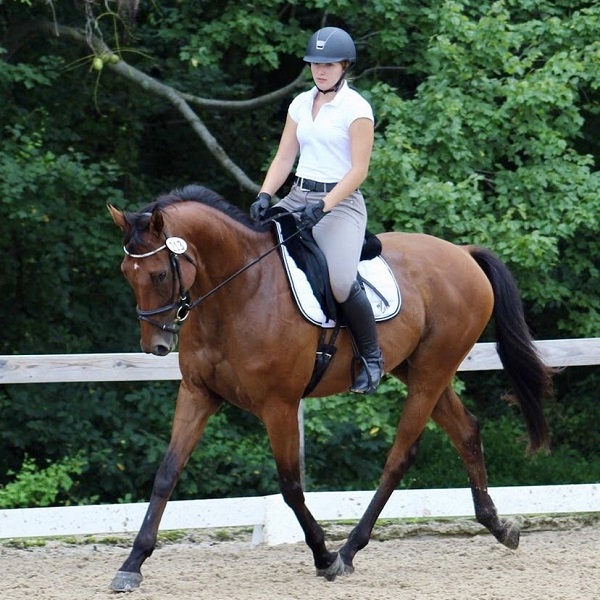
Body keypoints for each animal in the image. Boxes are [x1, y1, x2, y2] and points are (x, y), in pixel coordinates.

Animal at [106, 183, 548, 592]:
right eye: (126, 273)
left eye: (160, 273)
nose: (156, 345)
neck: (240, 290)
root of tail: (462, 252)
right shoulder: (198, 394)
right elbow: (167, 474)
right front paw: (132, 564)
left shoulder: (280, 405)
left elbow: (291, 487)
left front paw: (323, 555)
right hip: (417, 369)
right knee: (466, 430)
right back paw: (500, 527)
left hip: (431, 371)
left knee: (400, 456)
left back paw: (349, 551)